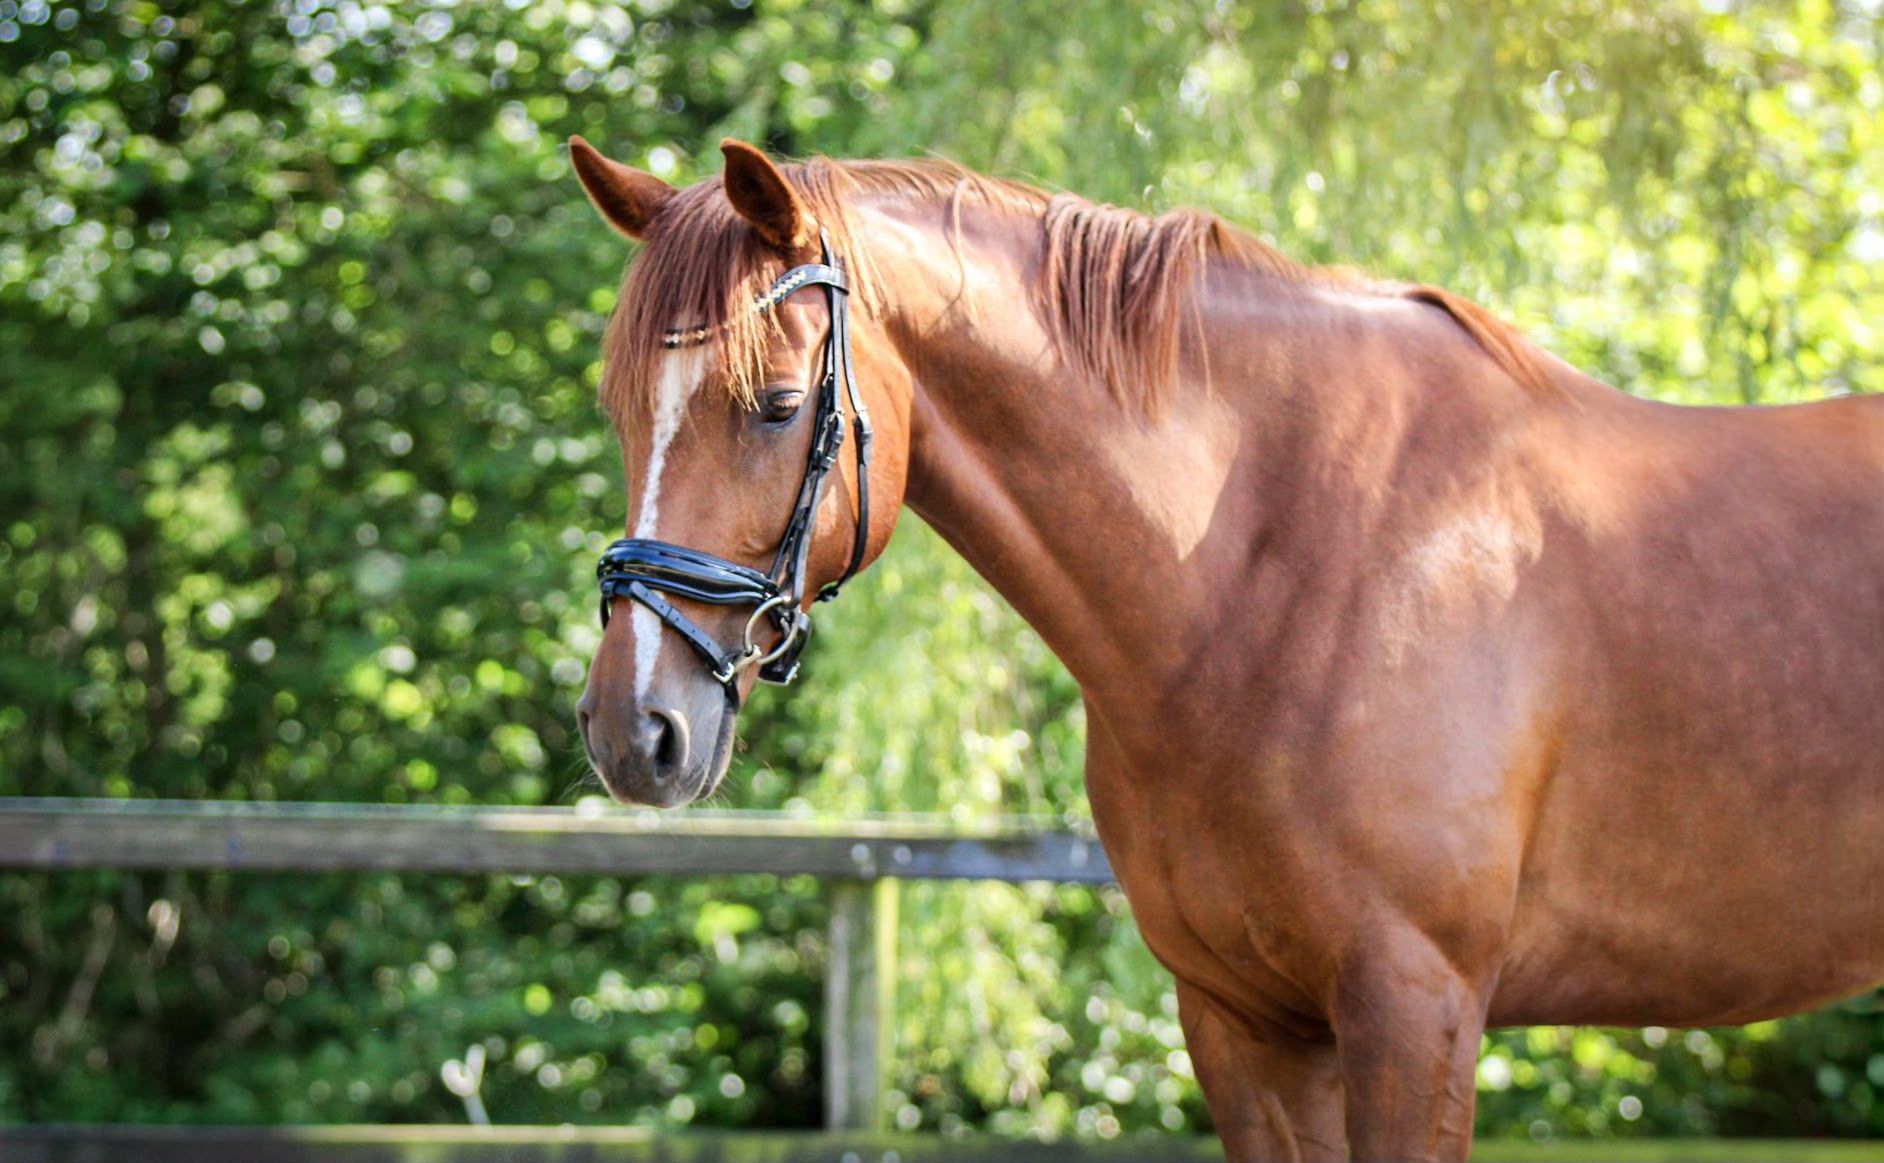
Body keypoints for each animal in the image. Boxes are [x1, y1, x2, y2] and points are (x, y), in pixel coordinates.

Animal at [568, 136, 1884, 1161]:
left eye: (779, 405)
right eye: (622, 407)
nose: (635, 728)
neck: (1285, 560)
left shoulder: (1415, 1005)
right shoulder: (1243, 1020)